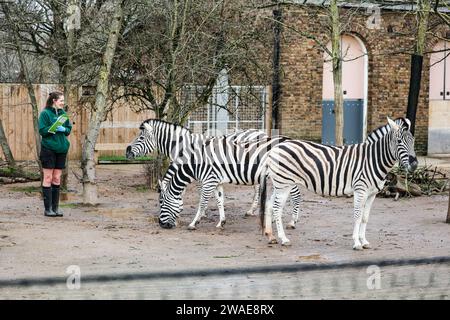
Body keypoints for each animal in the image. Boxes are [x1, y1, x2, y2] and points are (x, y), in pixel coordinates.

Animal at [125, 119, 302, 228]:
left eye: (140, 138)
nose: (127, 152)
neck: (186, 146)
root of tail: (261, 132)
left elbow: (200, 195)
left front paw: (200, 215)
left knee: (295, 193)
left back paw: (293, 221)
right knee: (259, 188)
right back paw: (253, 211)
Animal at [258, 118, 420, 250]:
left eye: (413, 141)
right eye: (399, 142)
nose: (414, 165)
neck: (373, 159)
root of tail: (274, 148)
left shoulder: (372, 194)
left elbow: (365, 217)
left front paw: (364, 241)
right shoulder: (360, 190)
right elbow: (357, 216)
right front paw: (356, 243)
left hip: (280, 184)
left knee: (269, 204)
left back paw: (270, 236)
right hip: (284, 184)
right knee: (277, 208)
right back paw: (284, 239)